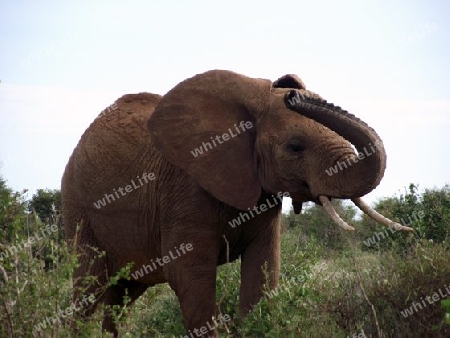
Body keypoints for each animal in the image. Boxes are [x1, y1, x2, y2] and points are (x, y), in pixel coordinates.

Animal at [61, 69, 414, 336]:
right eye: (295, 147)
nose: (291, 94)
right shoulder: (184, 188)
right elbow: (188, 274)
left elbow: (263, 269)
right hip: (78, 208)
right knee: (89, 290)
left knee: (120, 298)